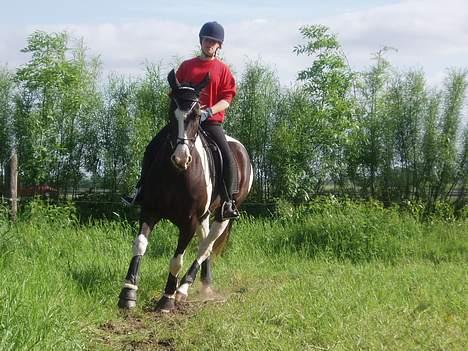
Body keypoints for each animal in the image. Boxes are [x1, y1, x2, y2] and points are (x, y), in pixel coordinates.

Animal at [119, 70, 254, 312]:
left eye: (197, 114)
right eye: (171, 113)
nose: (181, 158)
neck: (177, 175)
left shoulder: (189, 221)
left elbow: (177, 259)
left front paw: (167, 299)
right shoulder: (150, 210)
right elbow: (140, 244)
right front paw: (128, 293)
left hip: (223, 215)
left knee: (205, 247)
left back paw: (182, 289)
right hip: (205, 216)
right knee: (205, 245)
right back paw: (204, 284)